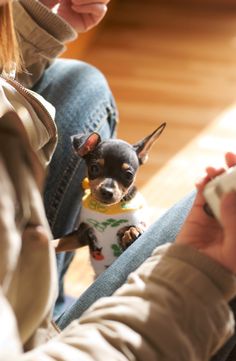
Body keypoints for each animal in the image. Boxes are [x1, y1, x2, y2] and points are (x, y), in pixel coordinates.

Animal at [54, 121, 166, 276]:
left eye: (129, 175)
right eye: (94, 168)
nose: (107, 192)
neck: (106, 210)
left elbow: (133, 230)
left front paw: (132, 232)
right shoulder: (81, 235)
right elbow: (57, 243)